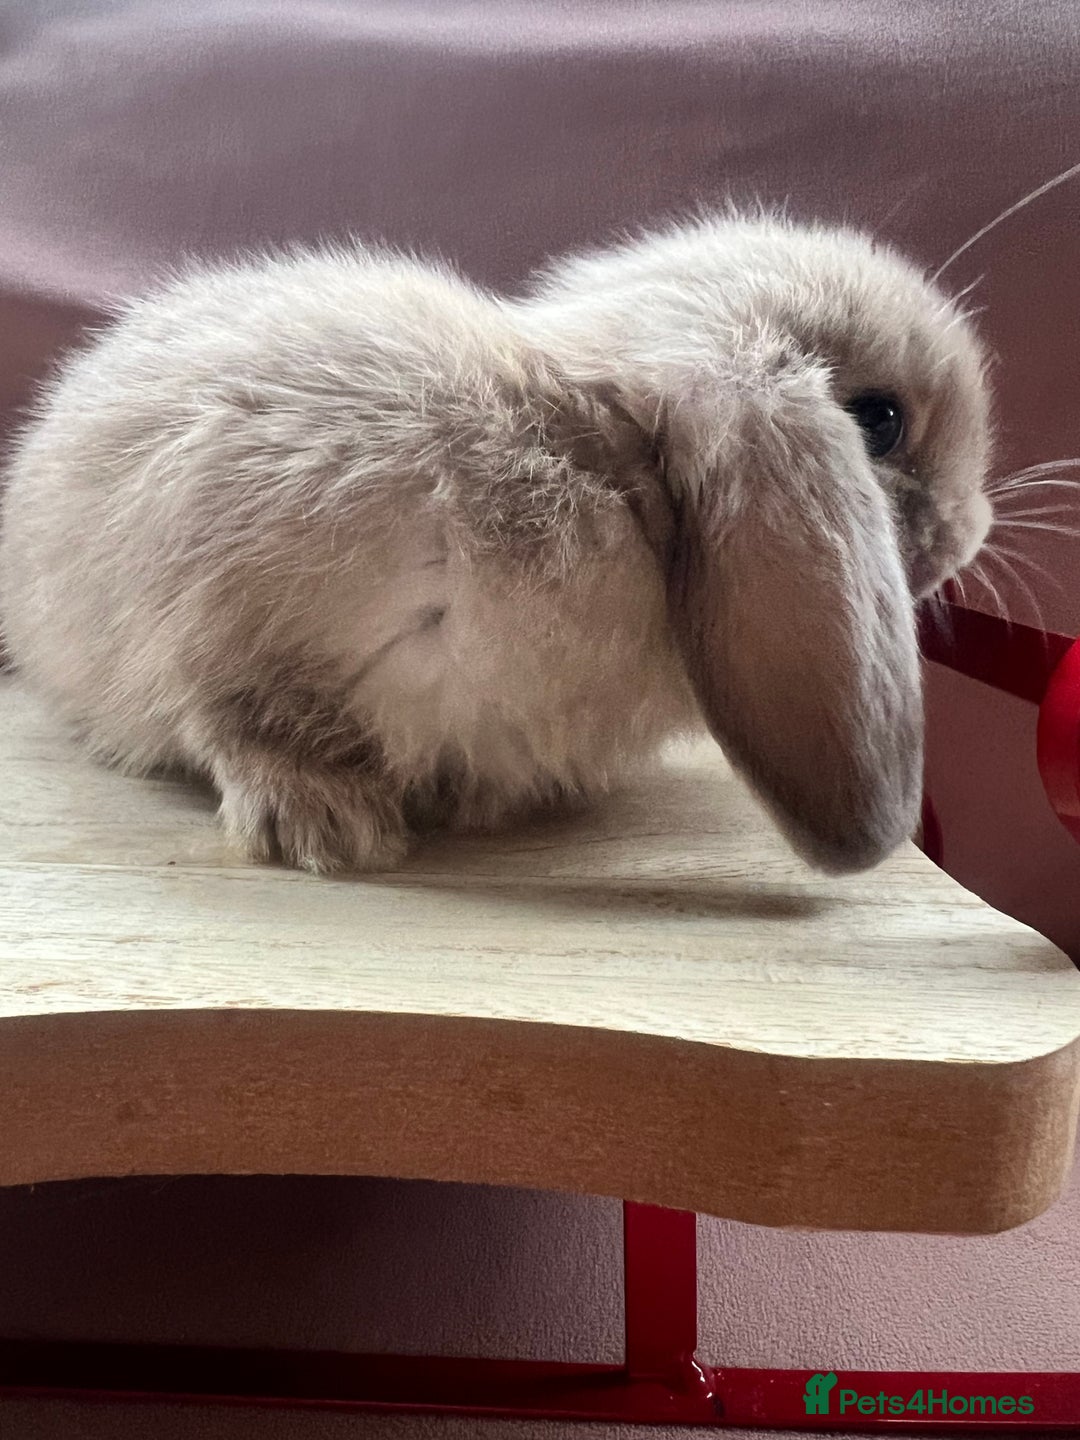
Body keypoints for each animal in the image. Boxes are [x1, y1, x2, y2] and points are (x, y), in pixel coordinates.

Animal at [0, 212, 992, 876]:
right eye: (878, 422)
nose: (973, 530)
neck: (597, 463)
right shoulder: (217, 606)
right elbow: (234, 719)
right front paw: (330, 825)